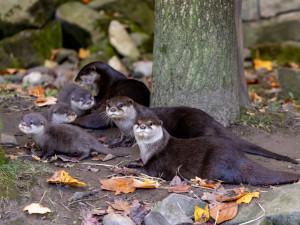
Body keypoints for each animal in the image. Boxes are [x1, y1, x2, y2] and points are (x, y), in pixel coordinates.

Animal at [105, 96, 298, 164]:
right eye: (108, 104)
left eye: (121, 104)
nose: (112, 109)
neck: (127, 125)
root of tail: (211, 119)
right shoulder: (123, 131)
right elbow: (121, 138)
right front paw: (114, 142)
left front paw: (129, 143)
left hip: (196, 126)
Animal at [132, 117, 300, 185]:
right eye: (137, 123)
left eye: (151, 123)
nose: (142, 126)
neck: (151, 150)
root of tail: (239, 158)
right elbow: (139, 162)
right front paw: (133, 163)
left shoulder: (158, 162)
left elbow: (146, 171)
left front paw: (130, 171)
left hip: (216, 161)